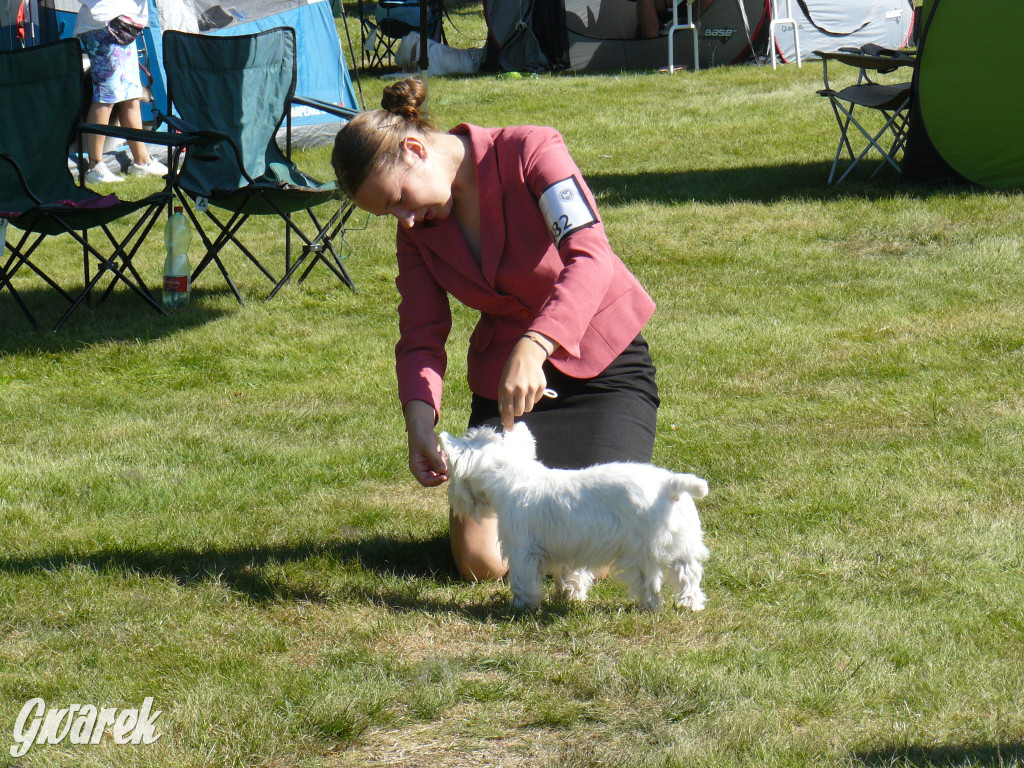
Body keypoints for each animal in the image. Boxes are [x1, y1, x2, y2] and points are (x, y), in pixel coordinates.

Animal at [436, 428, 708, 614]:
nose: (453, 497)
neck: (513, 478)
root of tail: (670, 485)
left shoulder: (523, 550)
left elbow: (523, 581)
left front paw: (520, 606)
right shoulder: (567, 550)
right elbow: (570, 576)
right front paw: (568, 596)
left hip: (641, 552)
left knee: (651, 584)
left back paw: (650, 606)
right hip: (681, 547)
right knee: (688, 576)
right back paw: (690, 605)